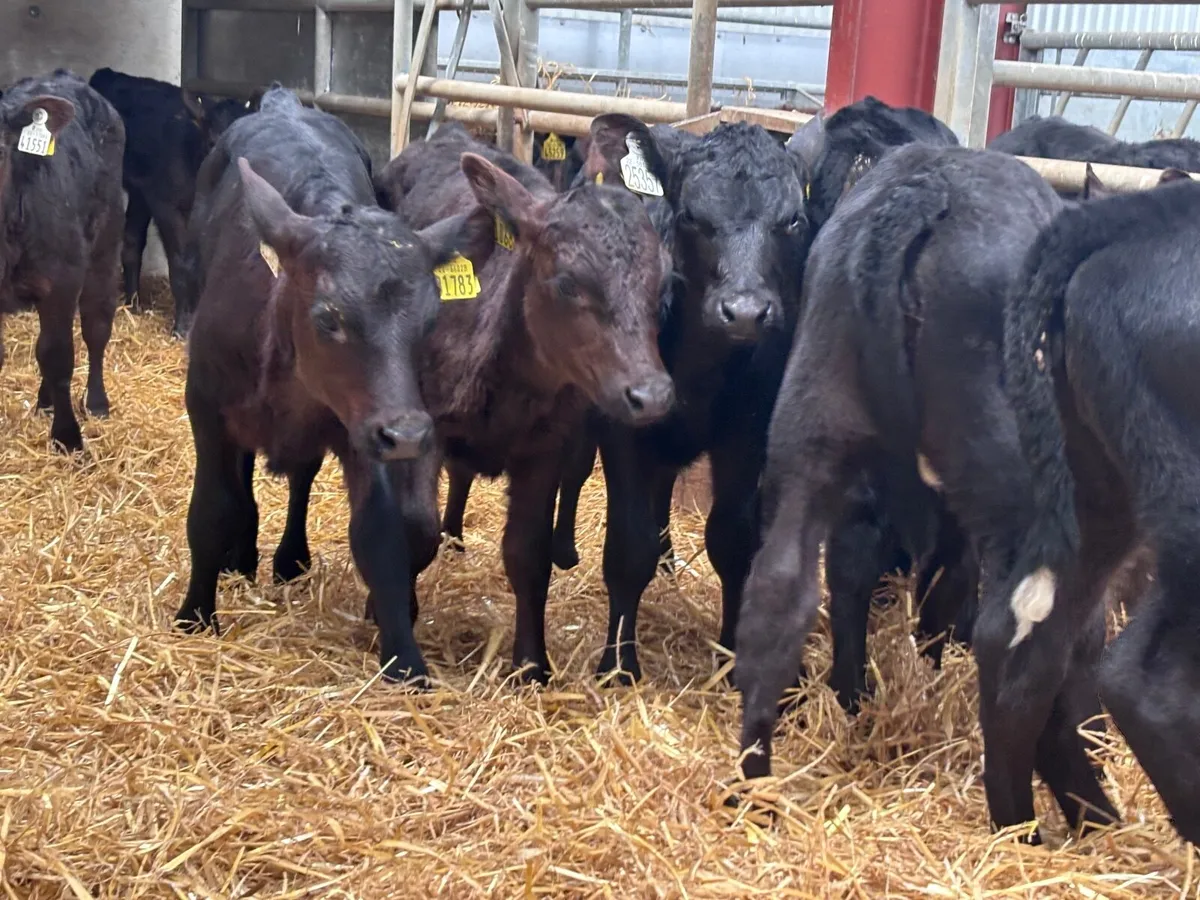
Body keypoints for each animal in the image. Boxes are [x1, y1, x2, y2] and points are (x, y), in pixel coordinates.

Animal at [0, 69, 125, 452]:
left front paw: (68, 437)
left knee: (95, 328)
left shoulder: (61, 282)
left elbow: (57, 356)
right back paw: (45, 401)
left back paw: (96, 402)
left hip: (104, 249)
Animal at [87, 67, 253, 319]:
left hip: (141, 192)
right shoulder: (167, 205)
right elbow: (182, 262)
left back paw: (133, 303)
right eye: (212, 142)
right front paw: (183, 321)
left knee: (132, 241)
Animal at [174, 86, 485, 684]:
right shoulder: (206, 406)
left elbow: (382, 535)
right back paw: (241, 557)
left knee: (301, 476)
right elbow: (212, 510)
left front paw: (404, 660)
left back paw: (288, 557)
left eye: (431, 317)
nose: (409, 436)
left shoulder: (368, 425)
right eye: (328, 317)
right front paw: (195, 615)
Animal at [730, 144, 1124, 843]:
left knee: (780, 592)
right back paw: (1044, 819)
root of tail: (925, 190)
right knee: (1029, 640)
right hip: (1026, 494)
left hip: (813, 430)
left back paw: (758, 782)